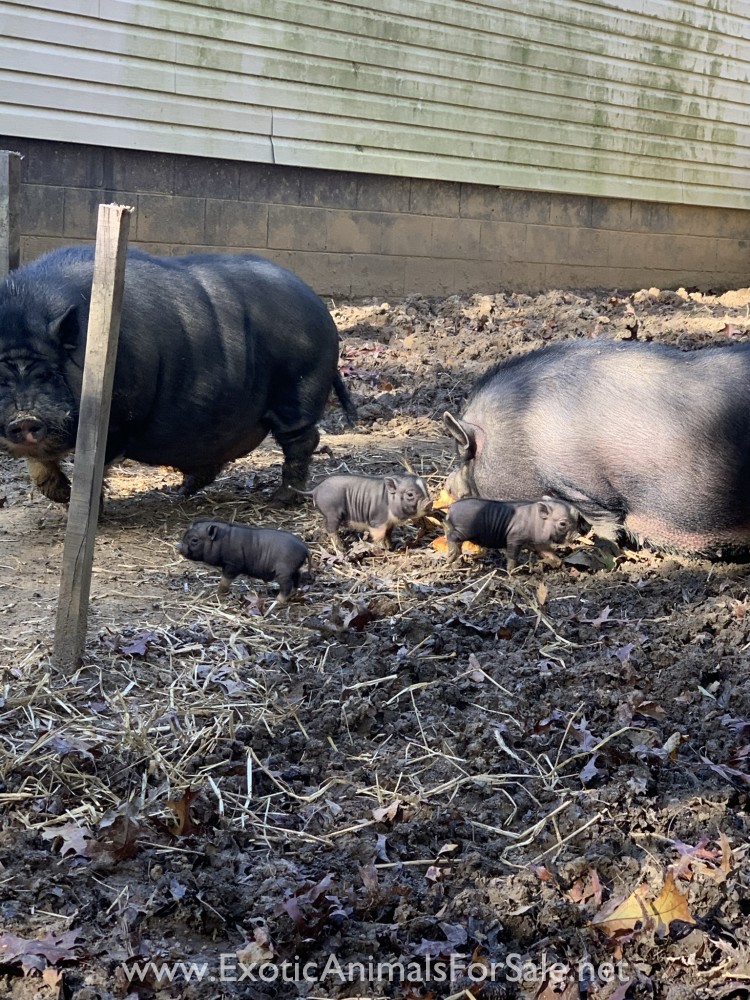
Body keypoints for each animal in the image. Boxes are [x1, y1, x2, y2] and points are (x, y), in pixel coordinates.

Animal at [0, 247, 355, 506]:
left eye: (47, 373)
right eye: (0, 377)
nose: (24, 418)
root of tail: (321, 309)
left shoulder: (117, 420)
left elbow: (94, 467)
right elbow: (38, 462)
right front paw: (61, 496)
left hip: (299, 387)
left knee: (303, 440)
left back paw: (280, 499)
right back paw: (181, 492)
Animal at [177, 519, 310, 601]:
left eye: (194, 540)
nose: (178, 546)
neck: (222, 541)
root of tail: (305, 548)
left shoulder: (232, 565)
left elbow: (225, 581)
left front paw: (218, 593)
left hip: (284, 572)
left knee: (287, 585)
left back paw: (277, 601)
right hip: (294, 569)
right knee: (297, 579)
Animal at [444, 497, 583, 571]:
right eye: (562, 524)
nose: (577, 535)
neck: (538, 522)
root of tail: (451, 506)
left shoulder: (538, 543)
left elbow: (550, 553)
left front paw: (558, 563)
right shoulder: (514, 539)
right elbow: (512, 556)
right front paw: (512, 572)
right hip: (463, 530)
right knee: (451, 537)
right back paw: (450, 558)